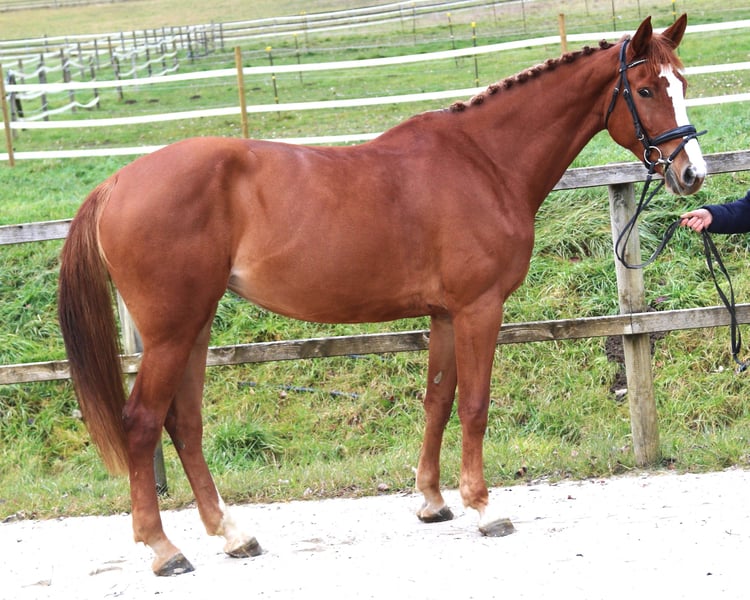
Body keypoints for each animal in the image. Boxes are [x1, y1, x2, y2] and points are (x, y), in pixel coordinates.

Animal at [58, 15, 706, 576]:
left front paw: (433, 501)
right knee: (143, 422)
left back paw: (233, 534)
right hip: (172, 331)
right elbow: (475, 404)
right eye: (646, 88)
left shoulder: (444, 314)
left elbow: (438, 401)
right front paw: (485, 507)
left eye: (683, 82)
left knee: (184, 423)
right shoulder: (479, 308)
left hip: (196, 326)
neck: (484, 162)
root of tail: (116, 183)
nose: (692, 174)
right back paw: (164, 549)